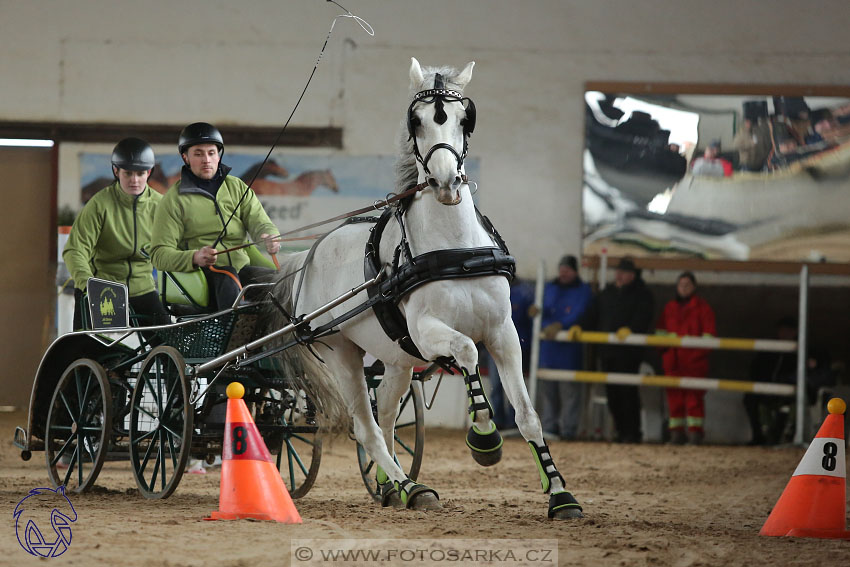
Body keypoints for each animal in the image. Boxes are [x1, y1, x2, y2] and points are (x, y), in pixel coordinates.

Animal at [272, 57, 584, 520]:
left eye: (463, 119)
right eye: (415, 120)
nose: (445, 182)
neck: (455, 248)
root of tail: (310, 254)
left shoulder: (504, 332)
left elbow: (528, 414)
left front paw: (560, 494)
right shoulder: (427, 331)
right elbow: (469, 352)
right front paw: (485, 438)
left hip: (397, 360)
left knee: (384, 417)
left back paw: (392, 486)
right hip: (341, 352)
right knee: (365, 427)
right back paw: (410, 486)